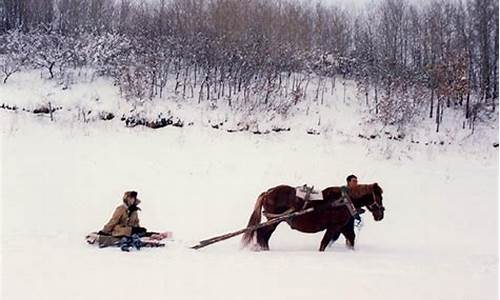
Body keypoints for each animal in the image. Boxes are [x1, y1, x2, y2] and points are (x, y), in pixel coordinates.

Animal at [240, 183, 384, 251]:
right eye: (379, 196)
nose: (381, 215)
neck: (344, 201)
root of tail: (268, 192)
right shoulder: (334, 227)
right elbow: (324, 243)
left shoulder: (343, 227)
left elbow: (351, 239)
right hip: (274, 221)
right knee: (261, 233)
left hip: (274, 222)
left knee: (264, 236)